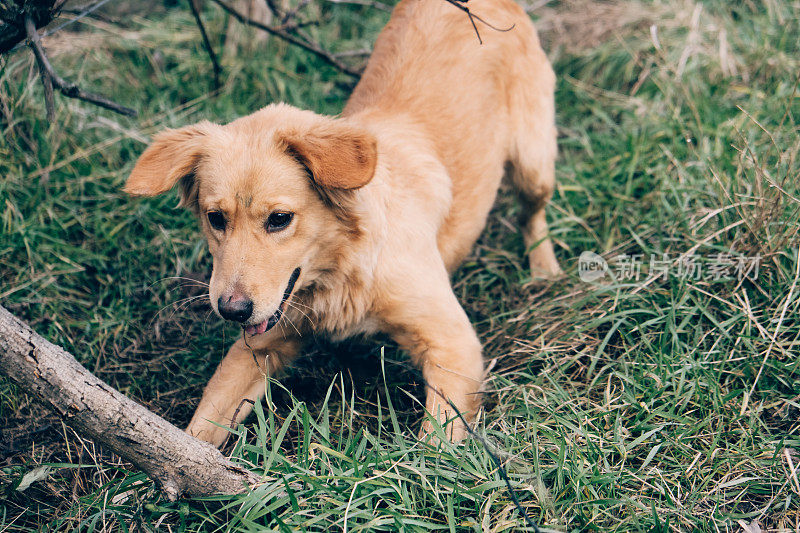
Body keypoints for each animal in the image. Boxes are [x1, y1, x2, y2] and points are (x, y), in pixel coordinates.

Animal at [128, 0, 560, 442]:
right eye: (215, 218)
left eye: (279, 219)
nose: (232, 311)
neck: (342, 270)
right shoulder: (261, 344)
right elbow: (201, 428)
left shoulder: (453, 344)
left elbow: (434, 442)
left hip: (533, 165)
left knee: (533, 212)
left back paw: (545, 270)